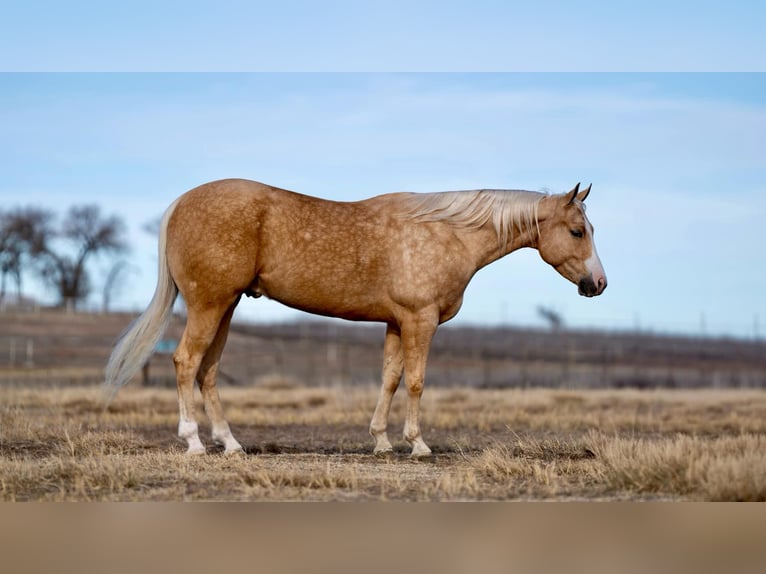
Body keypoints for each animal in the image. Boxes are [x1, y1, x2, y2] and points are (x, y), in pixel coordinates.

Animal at [105, 179, 606, 458]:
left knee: (207, 372)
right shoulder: (420, 320)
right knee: (186, 362)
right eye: (576, 231)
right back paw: (192, 442)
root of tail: (181, 203)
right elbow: (416, 381)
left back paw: (230, 444)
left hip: (225, 307)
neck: (447, 234)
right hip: (209, 305)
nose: (598, 284)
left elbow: (389, 379)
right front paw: (417, 444)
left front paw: (381, 441)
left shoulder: (396, 322)